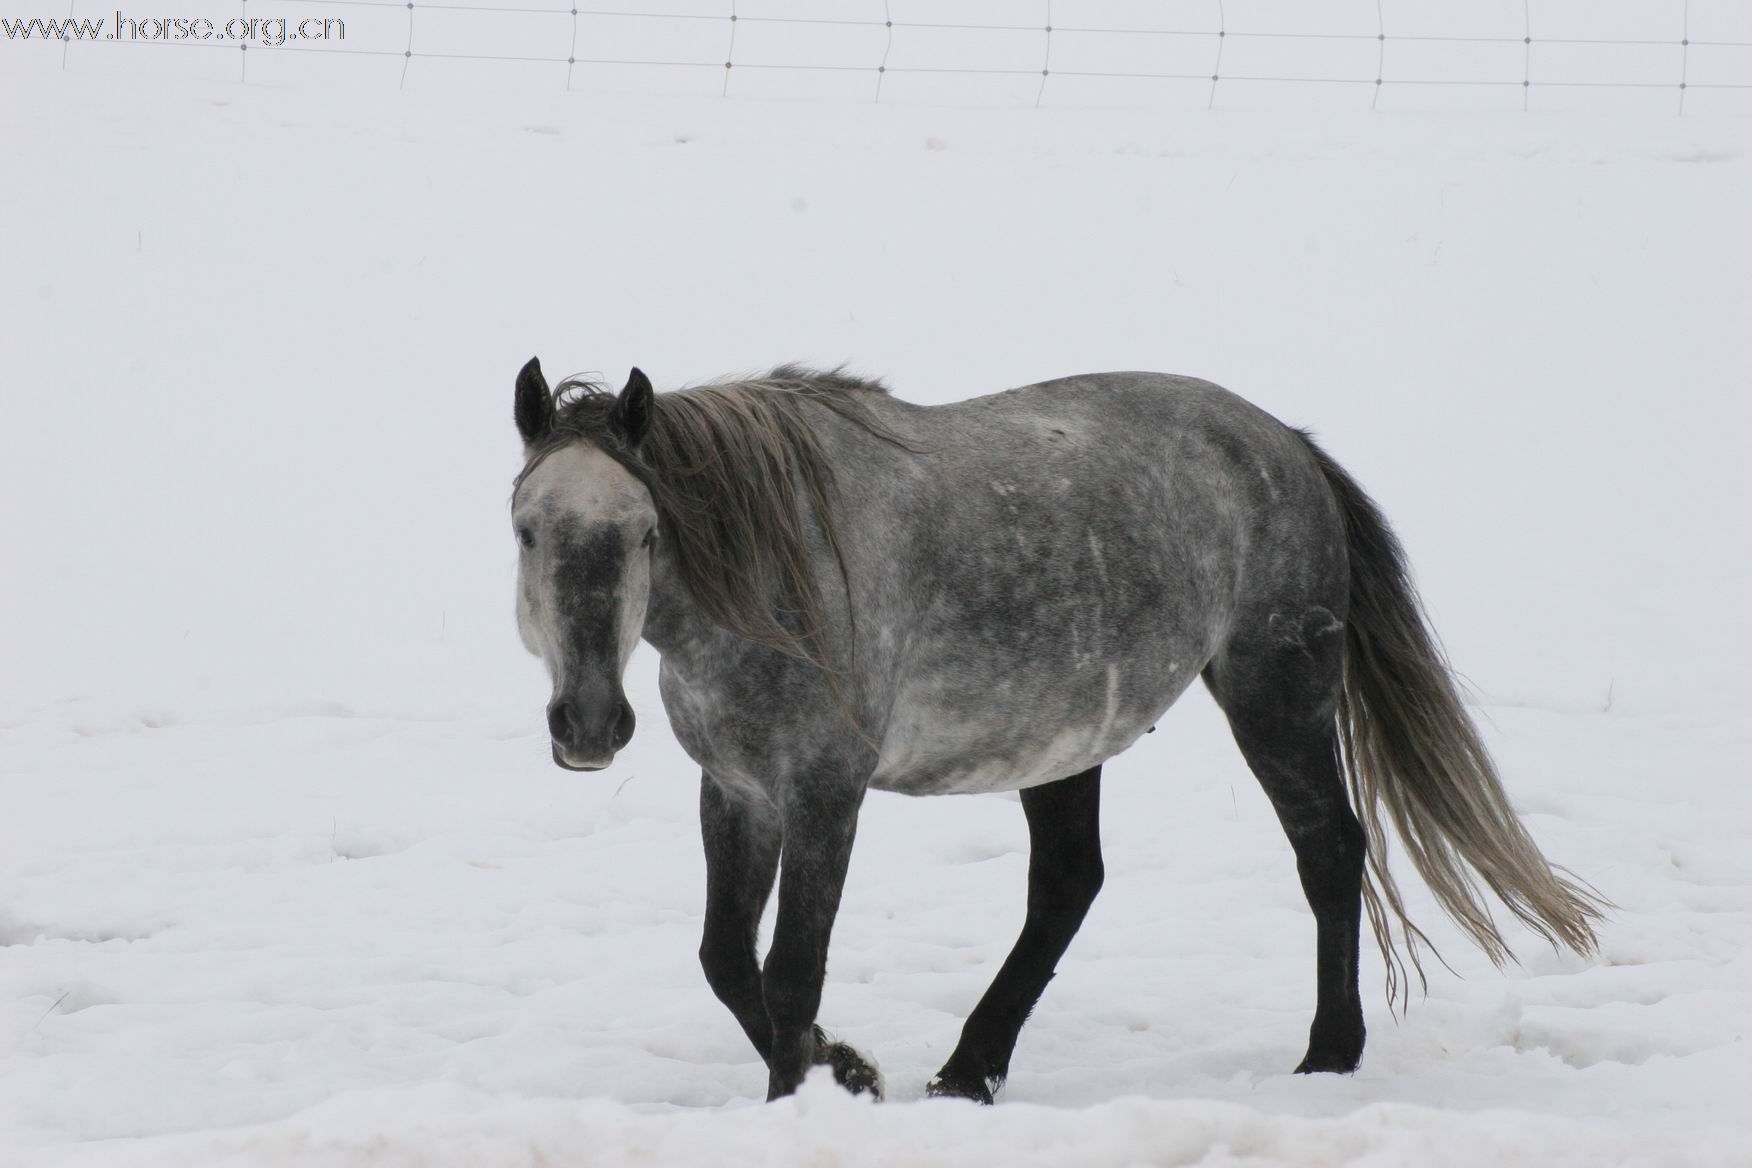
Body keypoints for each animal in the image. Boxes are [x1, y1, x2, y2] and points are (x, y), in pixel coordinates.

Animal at [508, 360, 1604, 1099]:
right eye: (525, 528)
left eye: (645, 533)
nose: (589, 725)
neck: (776, 579)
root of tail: (1288, 446)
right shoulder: (737, 789)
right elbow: (727, 961)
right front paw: (848, 1069)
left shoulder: (825, 790)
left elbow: (788, 974)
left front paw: (804, 1095)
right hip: (1069, 740)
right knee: (1069, 886)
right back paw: (968, 1068)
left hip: (1275, 696)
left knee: (1329, 852)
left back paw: (1328, 1053)